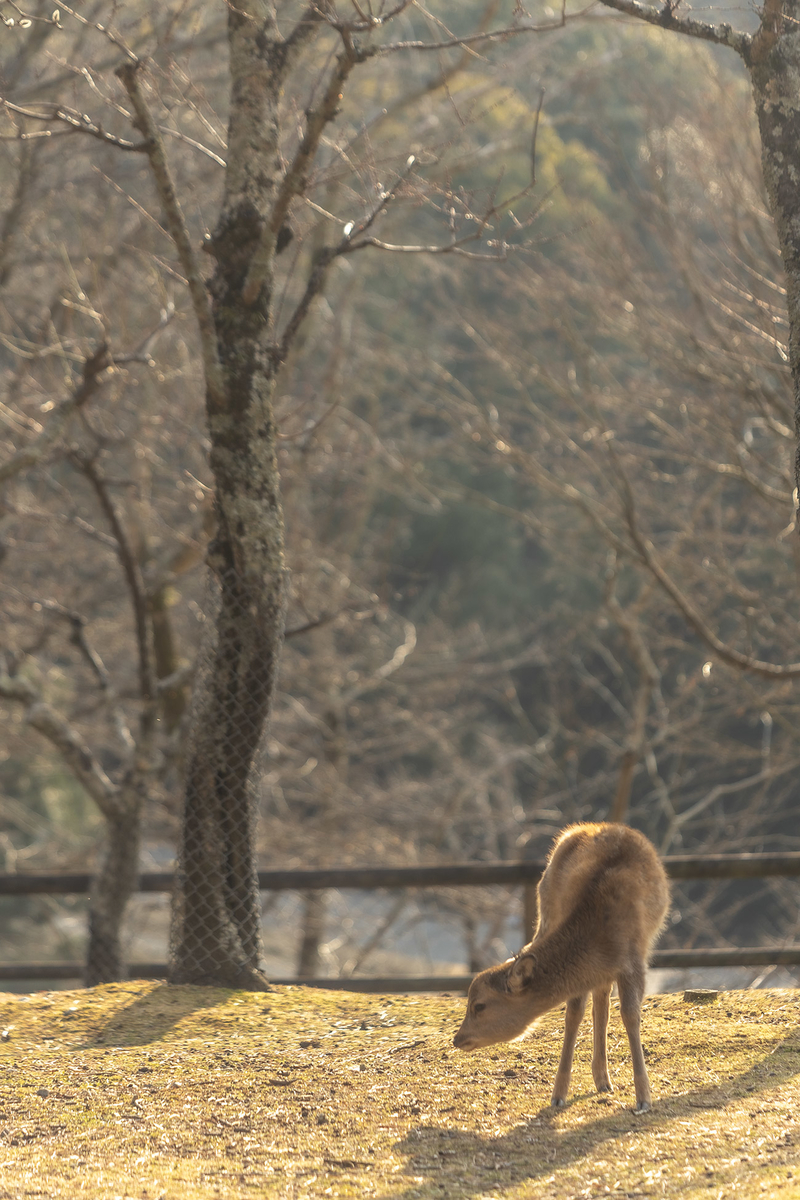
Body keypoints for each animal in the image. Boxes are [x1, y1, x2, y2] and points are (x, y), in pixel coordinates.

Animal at [453, 825, 671, 1113]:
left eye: (479, 1005)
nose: (457, 1038)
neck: (601, 930)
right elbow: (573, 1014)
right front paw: (558, 1095)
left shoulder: (634, 963)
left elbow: (631, 1015)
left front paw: (644, 1098)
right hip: (546, 910)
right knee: (599, 1002)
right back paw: (602, 1080)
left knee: (602, 1001)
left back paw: (604, 1081)